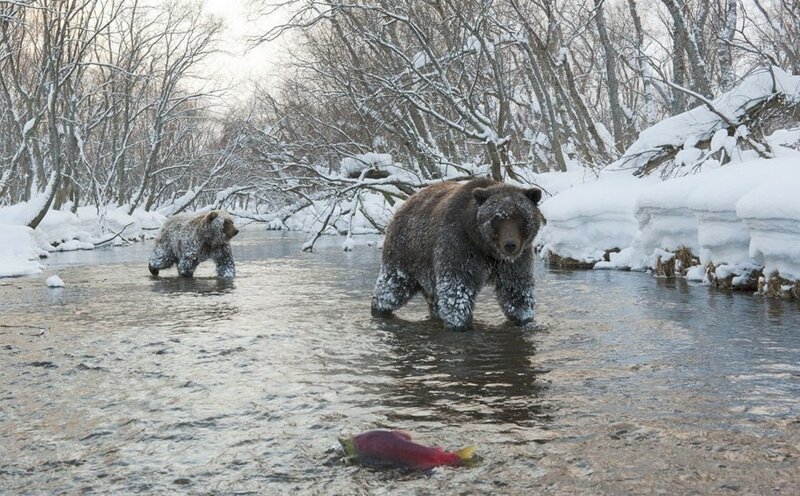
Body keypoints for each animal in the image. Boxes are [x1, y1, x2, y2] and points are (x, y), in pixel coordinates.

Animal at [374, 176, 544, 332]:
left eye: (520, 216)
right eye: (497, 217)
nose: (510, 245)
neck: (486, 247)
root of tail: (406, 202)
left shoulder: (514, 261)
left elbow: (515, 289)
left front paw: (524, 319)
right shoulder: (460, 246)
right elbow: (457, 288)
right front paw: (460, 324)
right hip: (405, 254)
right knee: (392, 287)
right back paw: (379, 309)